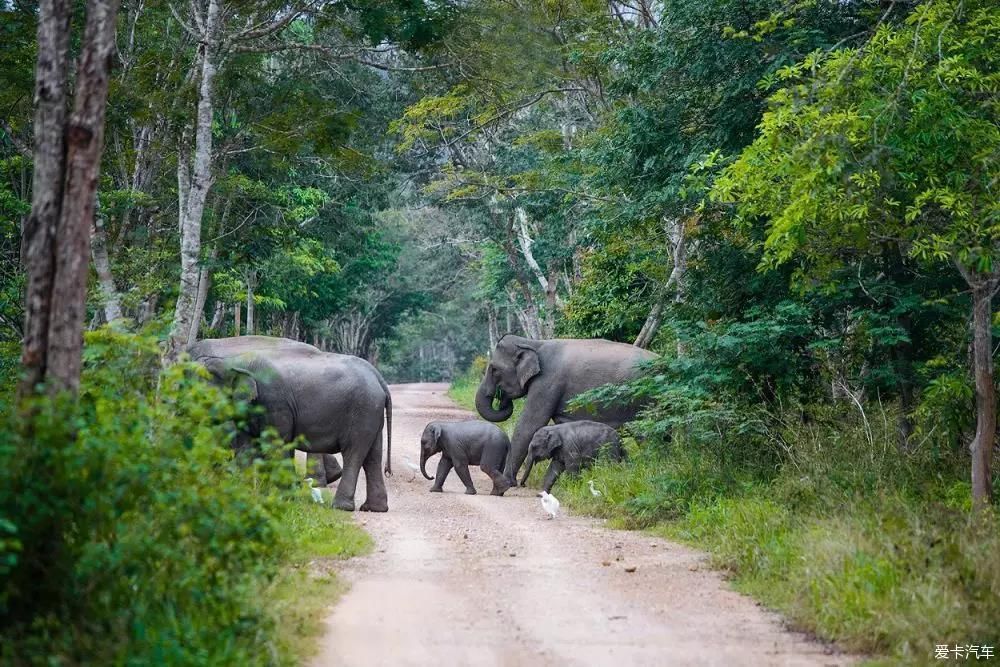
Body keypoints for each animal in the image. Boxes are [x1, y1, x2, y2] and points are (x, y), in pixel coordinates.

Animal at [186, 336, 392, 516]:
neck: (230, 362)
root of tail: (378, 377)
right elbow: (247, 446)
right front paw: (246, 493)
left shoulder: (274, 400)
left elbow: (275, 444)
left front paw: (283, 497)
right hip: (371, 413)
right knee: (373, 456)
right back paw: (373, 508)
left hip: (362, 411)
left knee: (354, 453)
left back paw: (341, 506)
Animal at [476, 336, 656, 488]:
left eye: (494, 369)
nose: (502, 399)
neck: (534, 343)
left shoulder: (547, 382)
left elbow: (529, 425)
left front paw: (508, 482)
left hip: (642, 398)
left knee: (645, 434)